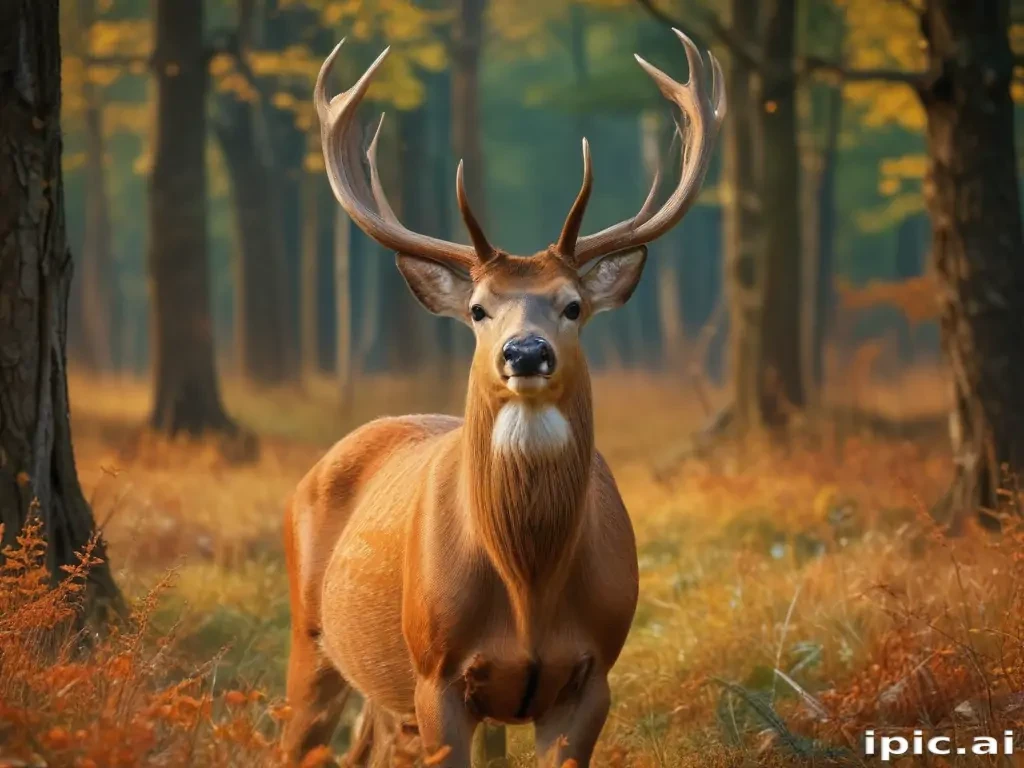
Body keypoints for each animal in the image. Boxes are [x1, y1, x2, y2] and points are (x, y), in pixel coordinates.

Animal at [282, 29, 725, 767]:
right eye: (479, 309)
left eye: (573, 306)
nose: (526, 352)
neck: (527, 590)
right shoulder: (437, 675)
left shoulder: (593, 674)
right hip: (310, 639)